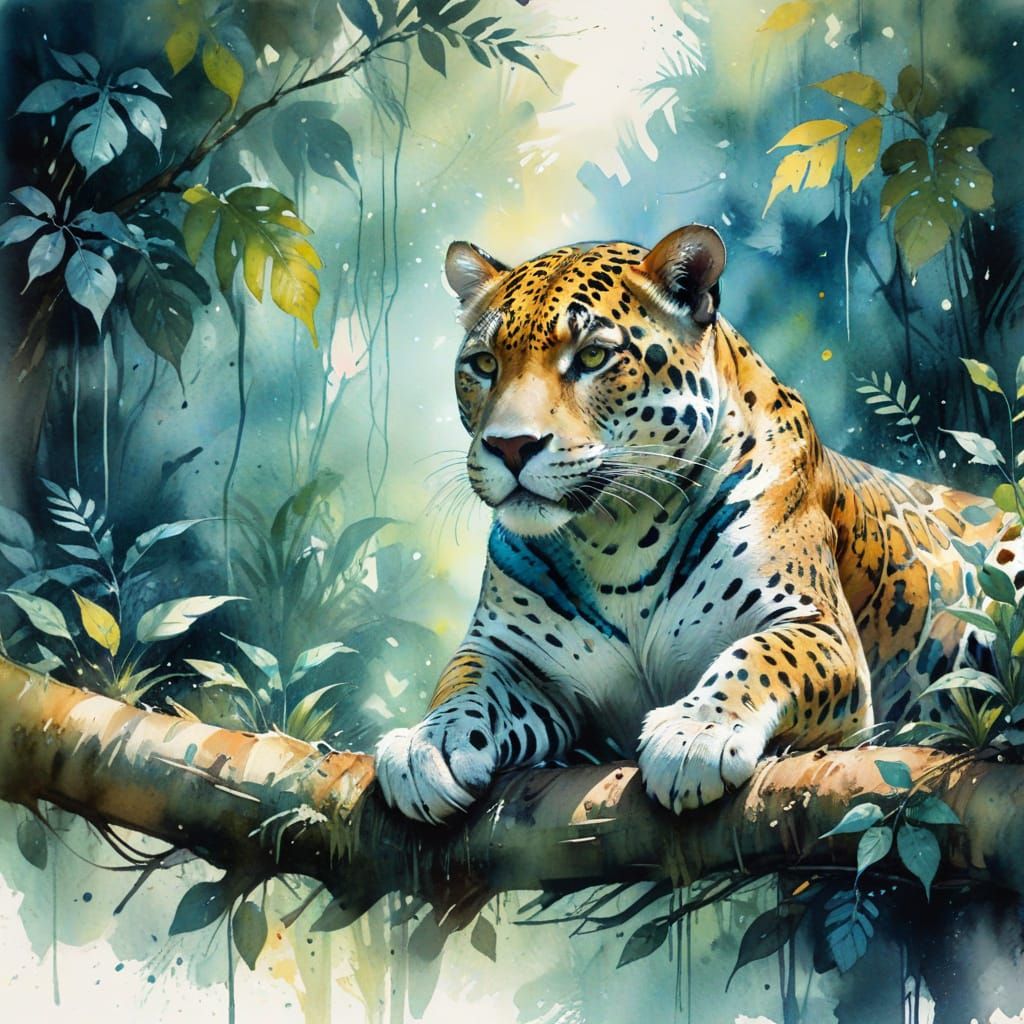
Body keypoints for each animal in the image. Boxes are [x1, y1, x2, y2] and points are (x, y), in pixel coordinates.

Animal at [375, 223, 1023, 825]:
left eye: (592, 357)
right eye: (484, 364)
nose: (510, 446)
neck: (615, 536)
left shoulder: (820, 629)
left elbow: (761, 654)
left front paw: (696, 734)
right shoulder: (511, 653)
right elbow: (464, 680)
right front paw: (429, 742)